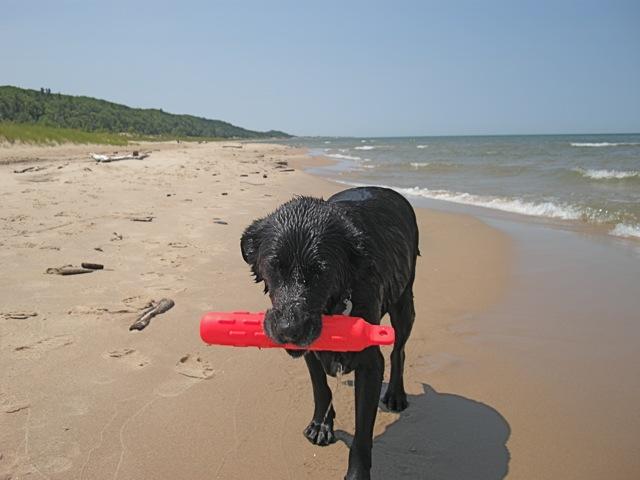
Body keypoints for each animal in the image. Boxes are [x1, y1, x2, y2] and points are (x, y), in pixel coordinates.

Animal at [240, 188, 420, 480]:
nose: (289, 329)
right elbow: (321, 389)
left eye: (321, 271)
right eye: (274, 267)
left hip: (404, 301)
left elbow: (362, 433)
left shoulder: (370, 364)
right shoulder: (311, 352)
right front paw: (321, 425)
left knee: (399, 351)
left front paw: (357, 474)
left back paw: (395, 394)